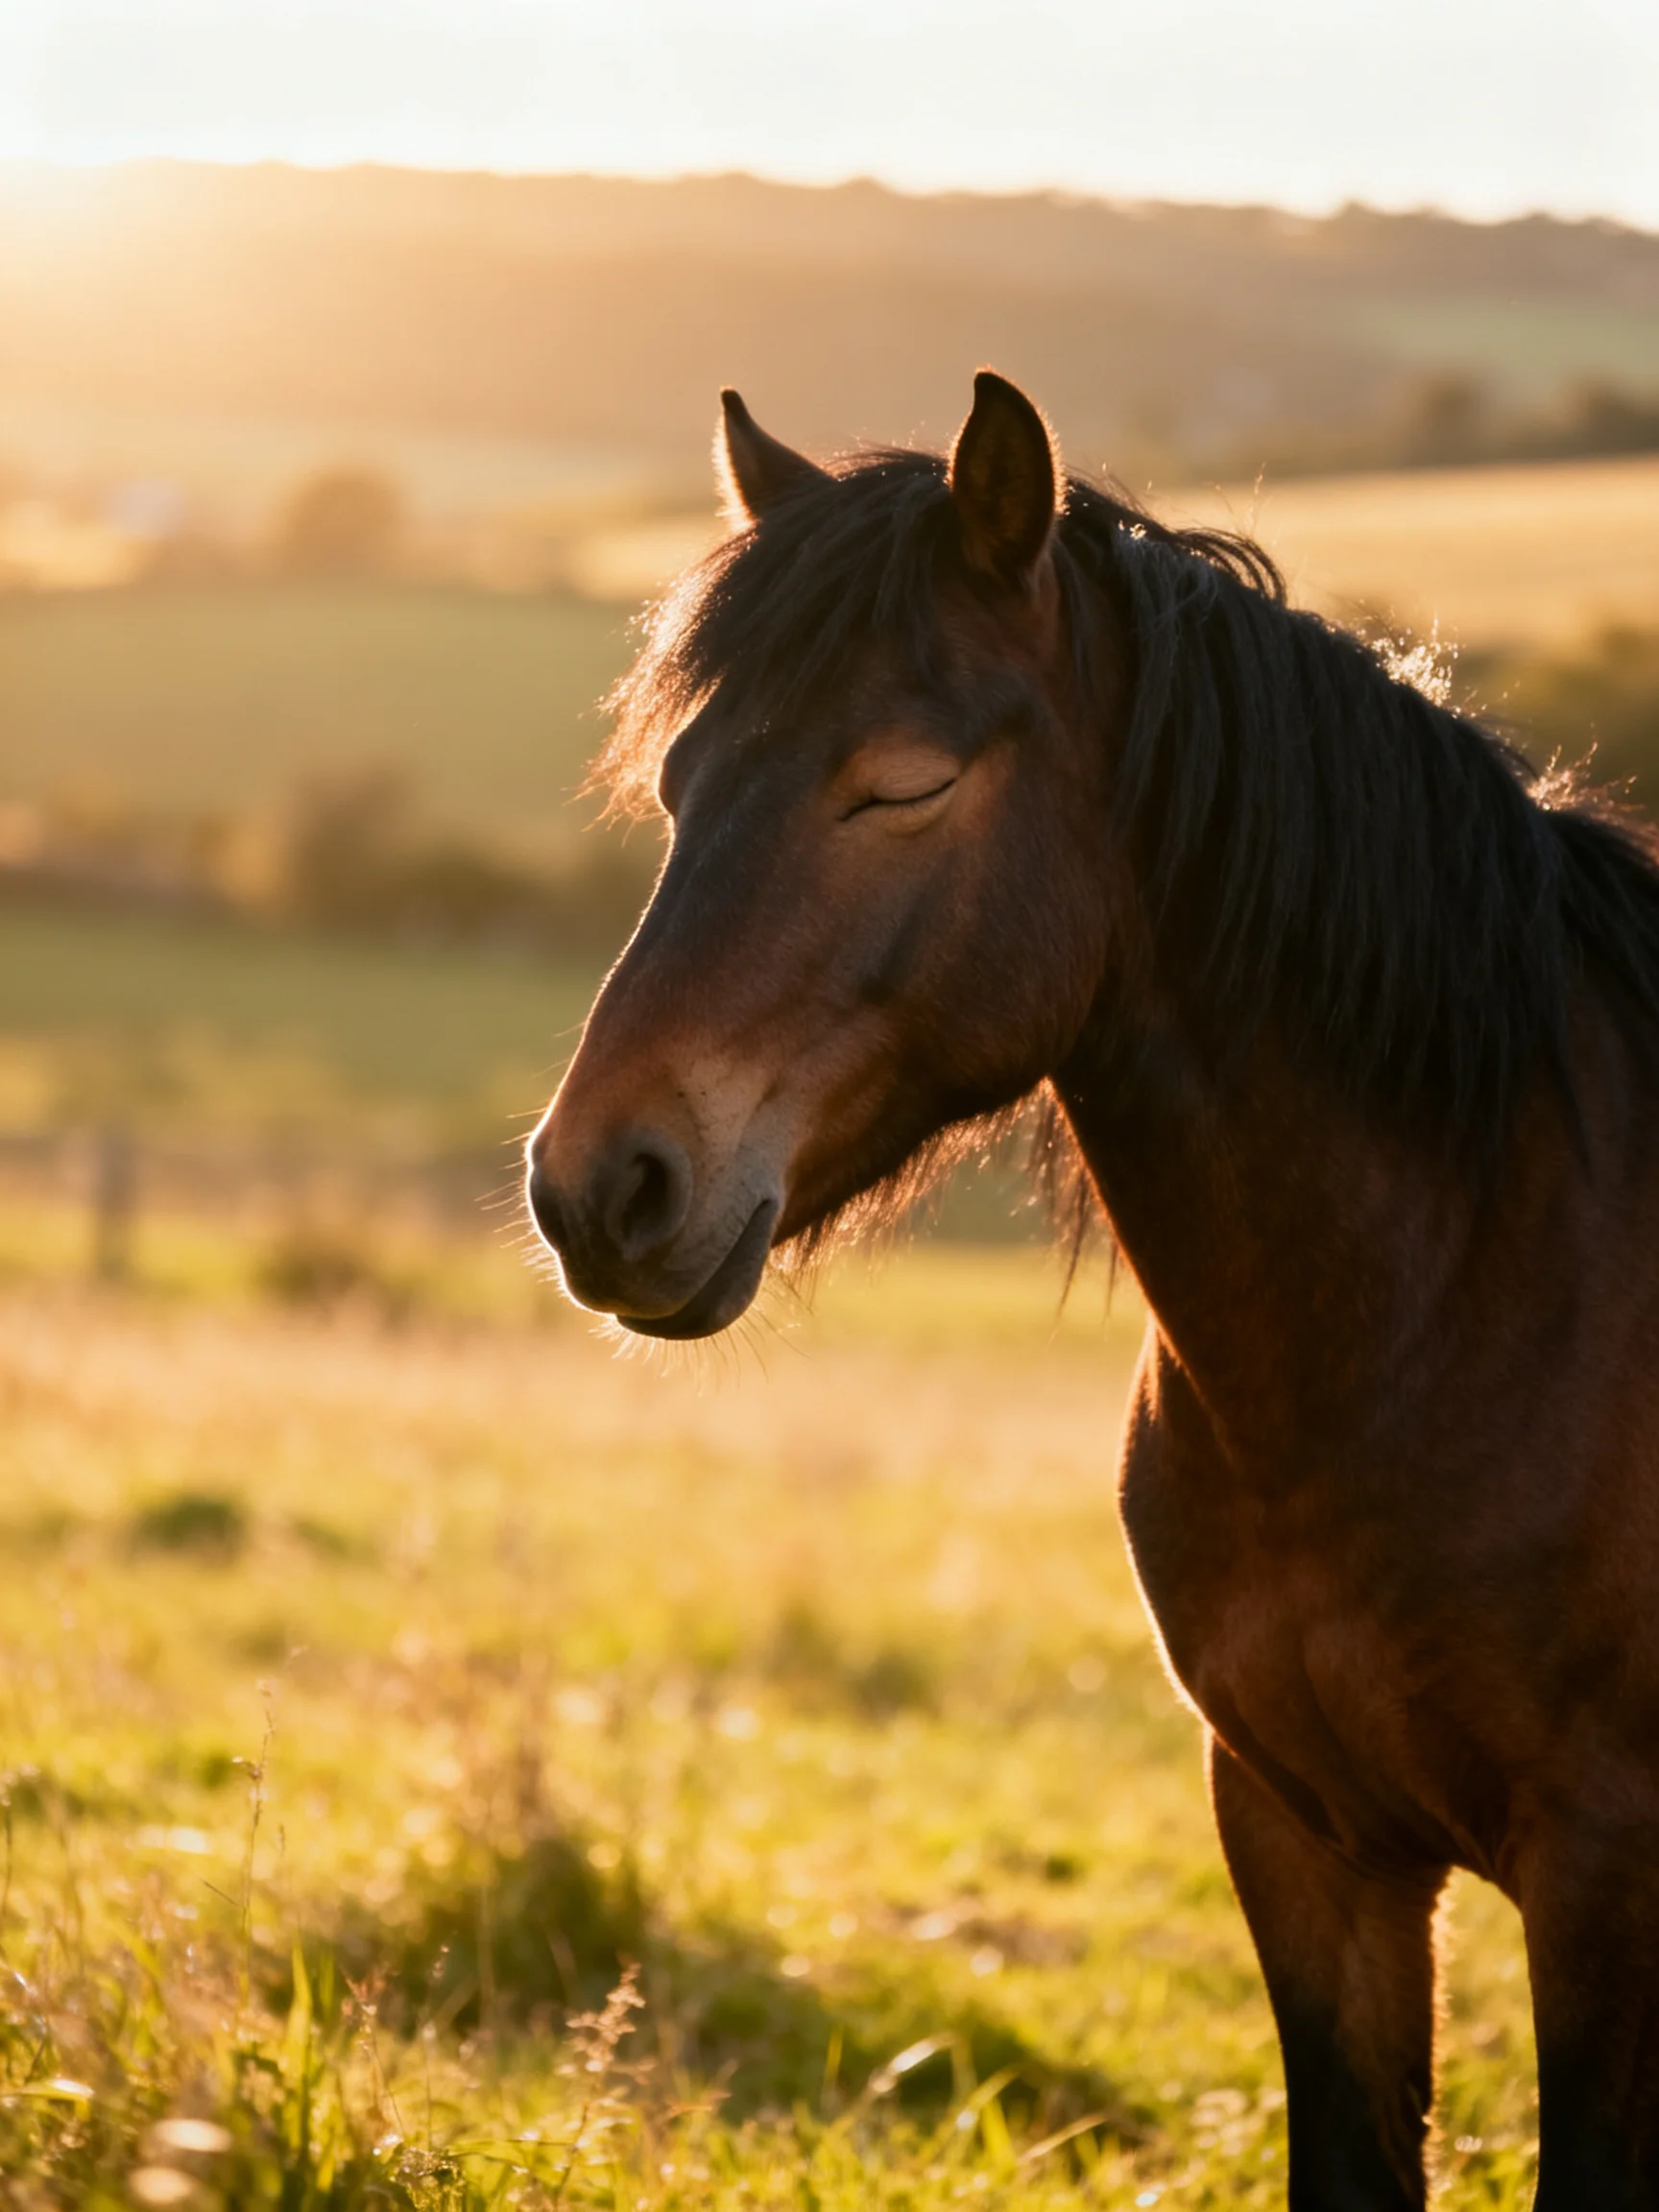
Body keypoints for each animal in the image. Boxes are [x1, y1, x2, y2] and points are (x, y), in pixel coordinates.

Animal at [526, 369, 1659, 2209]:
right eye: (683, 783)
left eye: (901, 786)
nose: (596, 1187)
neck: (1462, 1296)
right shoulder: (1304, 1837)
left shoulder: (1605, 1869)